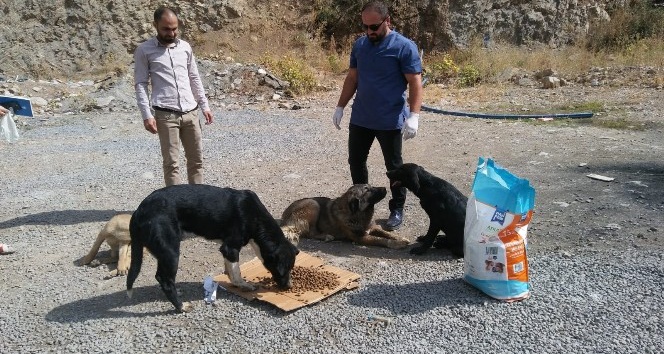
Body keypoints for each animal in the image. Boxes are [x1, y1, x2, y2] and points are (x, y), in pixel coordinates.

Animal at [127, 185, 298, 312]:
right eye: (282, 270)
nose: (288, 286)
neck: (255, 217)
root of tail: (138, 212)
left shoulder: (227, 250)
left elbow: (231, 270)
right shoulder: (230, 248)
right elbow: (237, 272)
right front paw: (243, 285)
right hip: (171, 252)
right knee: (165, 279)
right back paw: (181, 306)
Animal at [278, 185, 410, 249]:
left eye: (371, 186)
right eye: (367, 190)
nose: (385, 188)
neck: (358, 213)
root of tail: (285, 216)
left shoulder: (372, 227)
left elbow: (387, 233)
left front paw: (401, 238)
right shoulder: (360, 237)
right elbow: (381, 240)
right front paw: (397, 244)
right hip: (313, 204)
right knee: (310, 233)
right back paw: (327, 236)